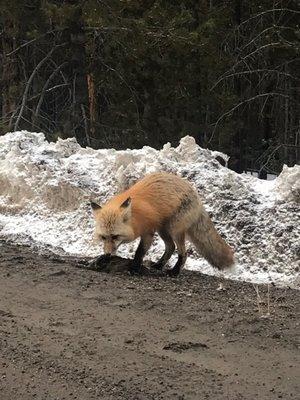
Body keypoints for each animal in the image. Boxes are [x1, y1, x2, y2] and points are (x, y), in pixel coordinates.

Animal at [90, 172, 233, 276]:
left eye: (115, 236)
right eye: (103, 237)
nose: (108, 254)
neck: (135, 218)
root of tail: (197, 197)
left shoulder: (148, 232)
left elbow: (139, 252)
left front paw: (134, 268)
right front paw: (102, 259)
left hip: (174, 230)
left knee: (183, 253)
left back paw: (174, 272)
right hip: (163, 230)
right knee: (171, 247)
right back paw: (158, 265)